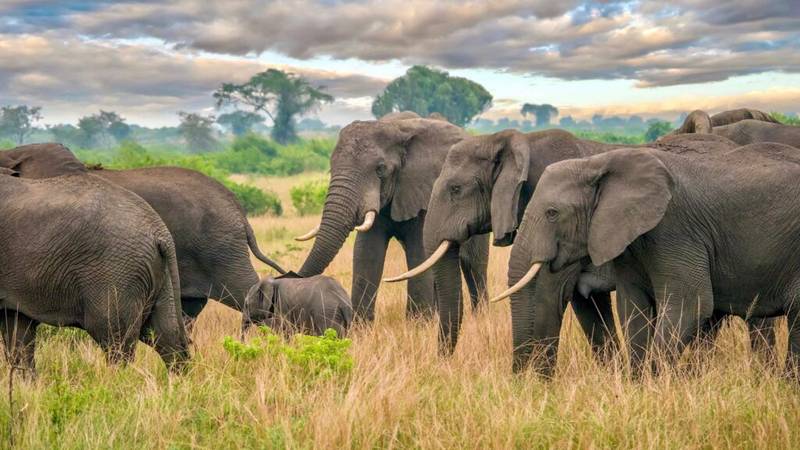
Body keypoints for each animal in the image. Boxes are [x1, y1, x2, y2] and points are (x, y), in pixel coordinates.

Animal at [0, 169, 190, 372]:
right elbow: (17, 330)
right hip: (160, 276)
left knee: (114, 339)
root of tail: (160, 231)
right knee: (166, 336)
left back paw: (115, 378)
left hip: (116, 273)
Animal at [295, 112, 489, 321]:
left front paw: (417, 324)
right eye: (331, 168)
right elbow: (367, 253)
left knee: (473, 265)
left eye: (380, 169)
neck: (396, 128)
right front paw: (361, 325)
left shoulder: (424, 191)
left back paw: (480, 317)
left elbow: (419, 252)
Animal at [498, 143, 800, 375]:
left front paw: (654, 385)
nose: (525, 386)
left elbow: (690, 305)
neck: (599, 162)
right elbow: (632, 308)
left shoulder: (674, 229)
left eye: (552, 213)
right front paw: (637, 385)